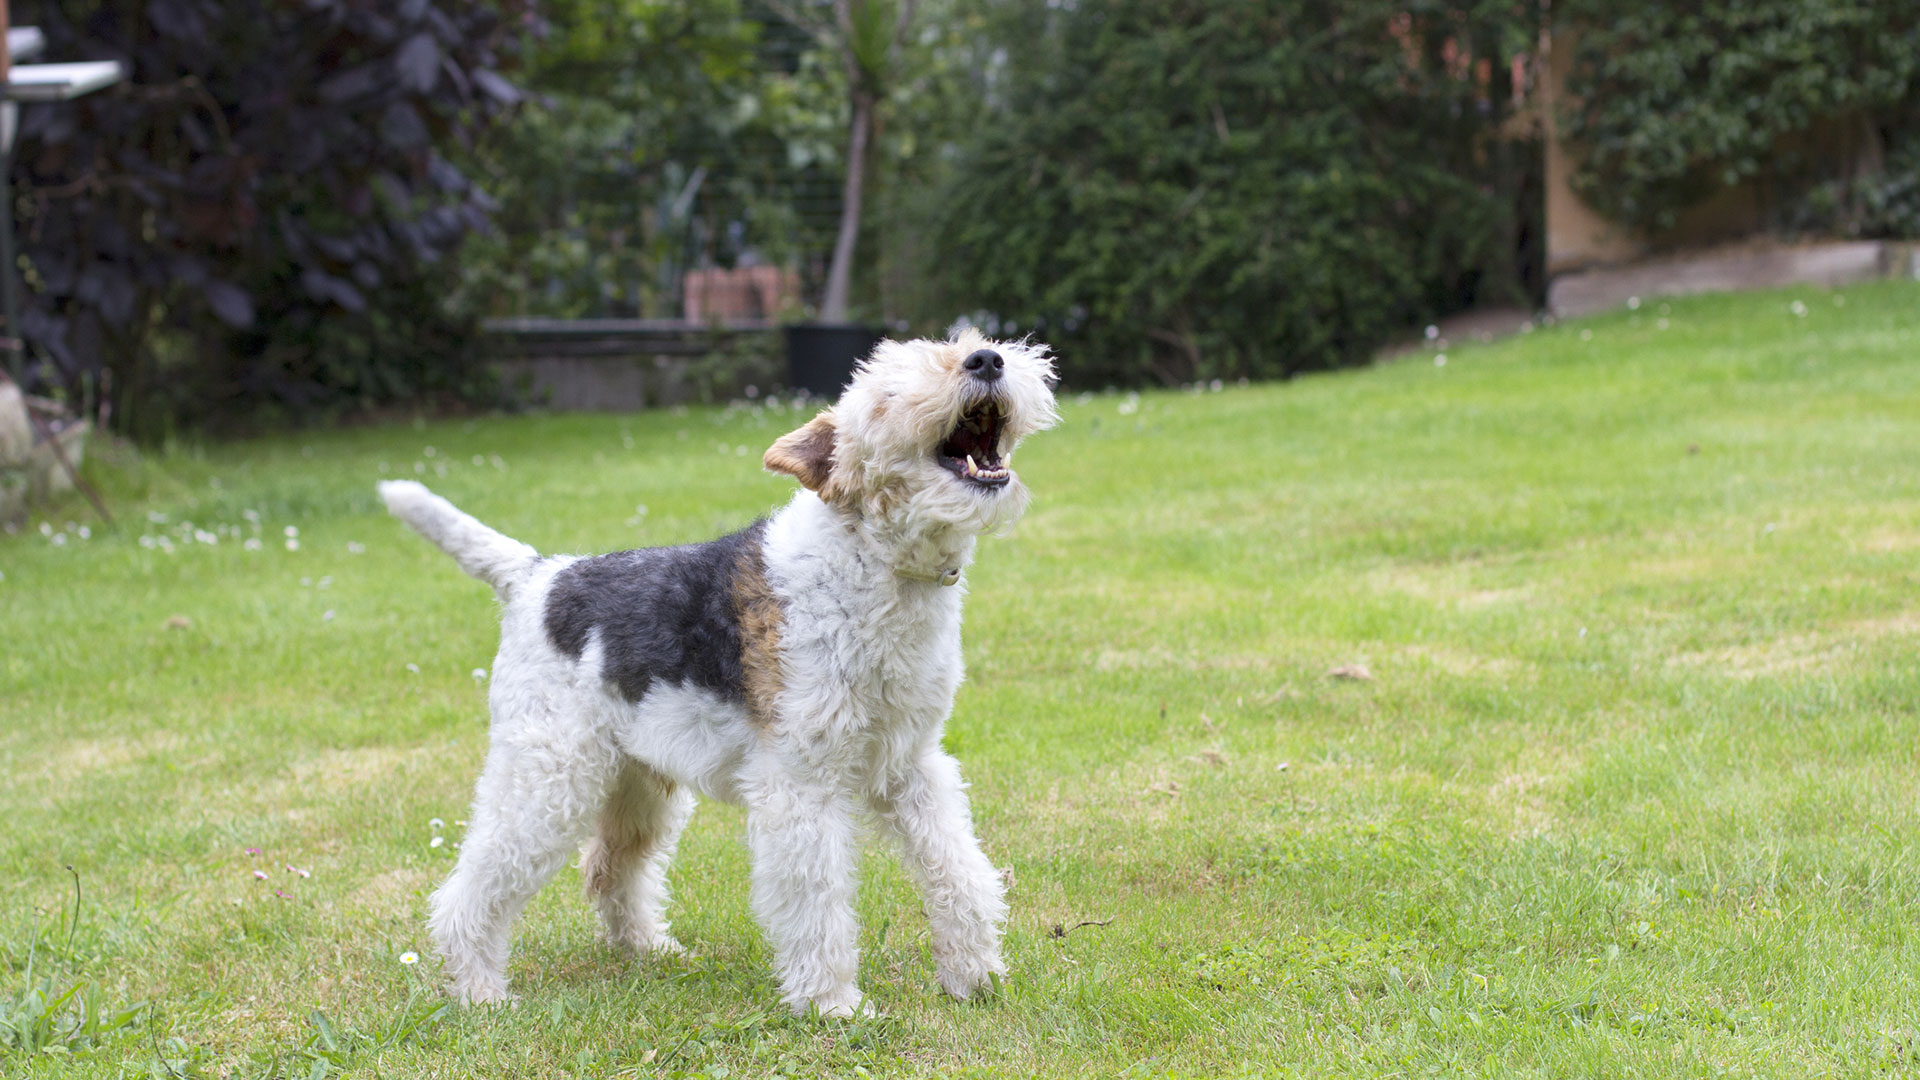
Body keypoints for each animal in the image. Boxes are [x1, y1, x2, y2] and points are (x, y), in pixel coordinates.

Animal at [380, 328, 1059, 1006]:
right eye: (888, 393)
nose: (988, 361)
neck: (872, 559)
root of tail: (537, 576)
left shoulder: (910, 765)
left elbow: (959, 869)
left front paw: (976, 977)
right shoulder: (800, 783)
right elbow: (817, 898)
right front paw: (833, 1004)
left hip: (638, 782)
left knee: (610, 868)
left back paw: (651, 949)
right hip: (549, 778)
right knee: (471, 889)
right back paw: (480, 992)